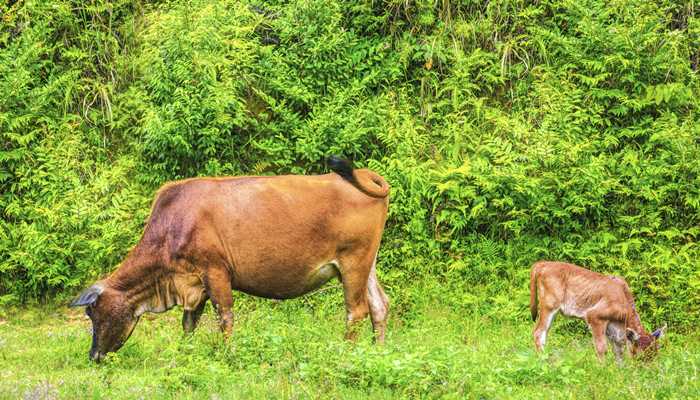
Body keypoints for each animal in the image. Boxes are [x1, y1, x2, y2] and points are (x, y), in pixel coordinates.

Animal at [69, 157, 392, 362]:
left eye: (93, 314)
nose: (93, 355)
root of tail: (365, 174)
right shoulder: (193, 283)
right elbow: (188, 323)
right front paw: (185, 354)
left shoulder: (215, 271)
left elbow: (224, 318)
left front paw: (227, 354)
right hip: (367, 263)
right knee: (379, 304)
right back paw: (378, 351)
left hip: (353, 261)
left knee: (356, 310)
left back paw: (347, 353)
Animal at [532, 260, 668, 360]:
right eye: (640, 356)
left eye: (655, 354)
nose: (645, 372)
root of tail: (543, 263)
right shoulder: (595, 317)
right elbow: (602, 348)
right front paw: (603, 369)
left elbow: (618, 352)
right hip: (549, 305)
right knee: (538, 332)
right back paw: (544, 359)